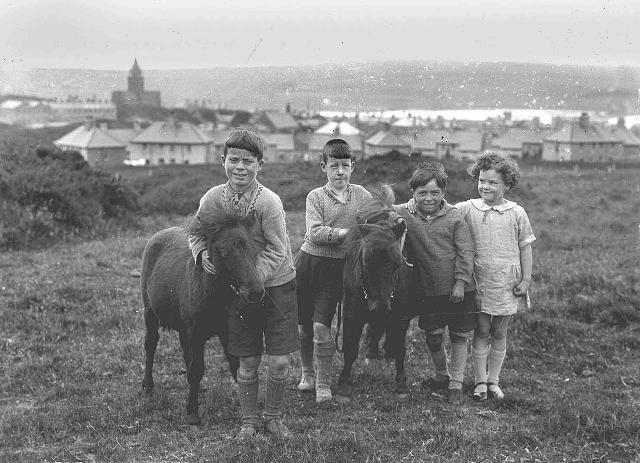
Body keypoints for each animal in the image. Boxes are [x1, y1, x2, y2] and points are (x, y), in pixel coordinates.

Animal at [141, 212, 264, 426]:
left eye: (252, 247)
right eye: (223, 252)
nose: (255, 291)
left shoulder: (225, 331)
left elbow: (234, 365)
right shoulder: (196, 334)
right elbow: (197, 369)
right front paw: (192, 413)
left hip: (183, 327)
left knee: (185, 352)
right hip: (150, 313)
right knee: (151, 345)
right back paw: (148, 387)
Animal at [332, 188, 412, 398]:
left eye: (397, 264)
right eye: (365, 264)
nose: (380, 308)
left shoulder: (401, 315)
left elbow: (400, 347)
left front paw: (401, 384)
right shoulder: (350, 313)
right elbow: (350, 348)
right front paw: (343, 384)